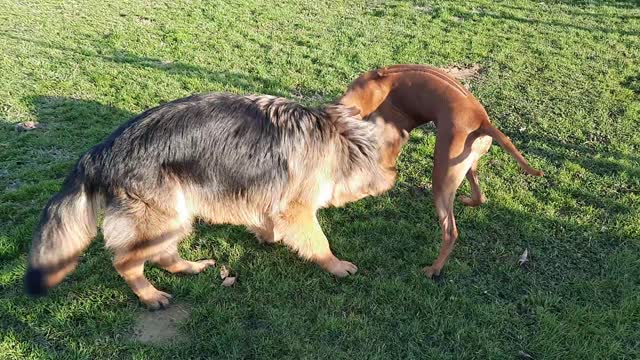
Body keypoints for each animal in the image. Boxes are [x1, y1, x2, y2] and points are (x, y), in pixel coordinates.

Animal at [26, 93, 396, 310]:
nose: (391, 181)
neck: (339, 138)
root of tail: (97, 153)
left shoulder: (265, 196)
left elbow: (267, 221)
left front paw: (266, 235)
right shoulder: (298, 210)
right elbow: (318, 241)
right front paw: (336, 265)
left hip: (176, 215)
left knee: (163, 254)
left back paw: (191, 267)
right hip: (164, 216)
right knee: (126, 261)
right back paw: (151, 296)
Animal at [338, 64, 544, 278]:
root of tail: (482, 122)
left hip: (441, 178)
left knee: (450, 231)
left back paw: (434, 269)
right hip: (465, 167)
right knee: (480, 197)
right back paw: (467, 201)